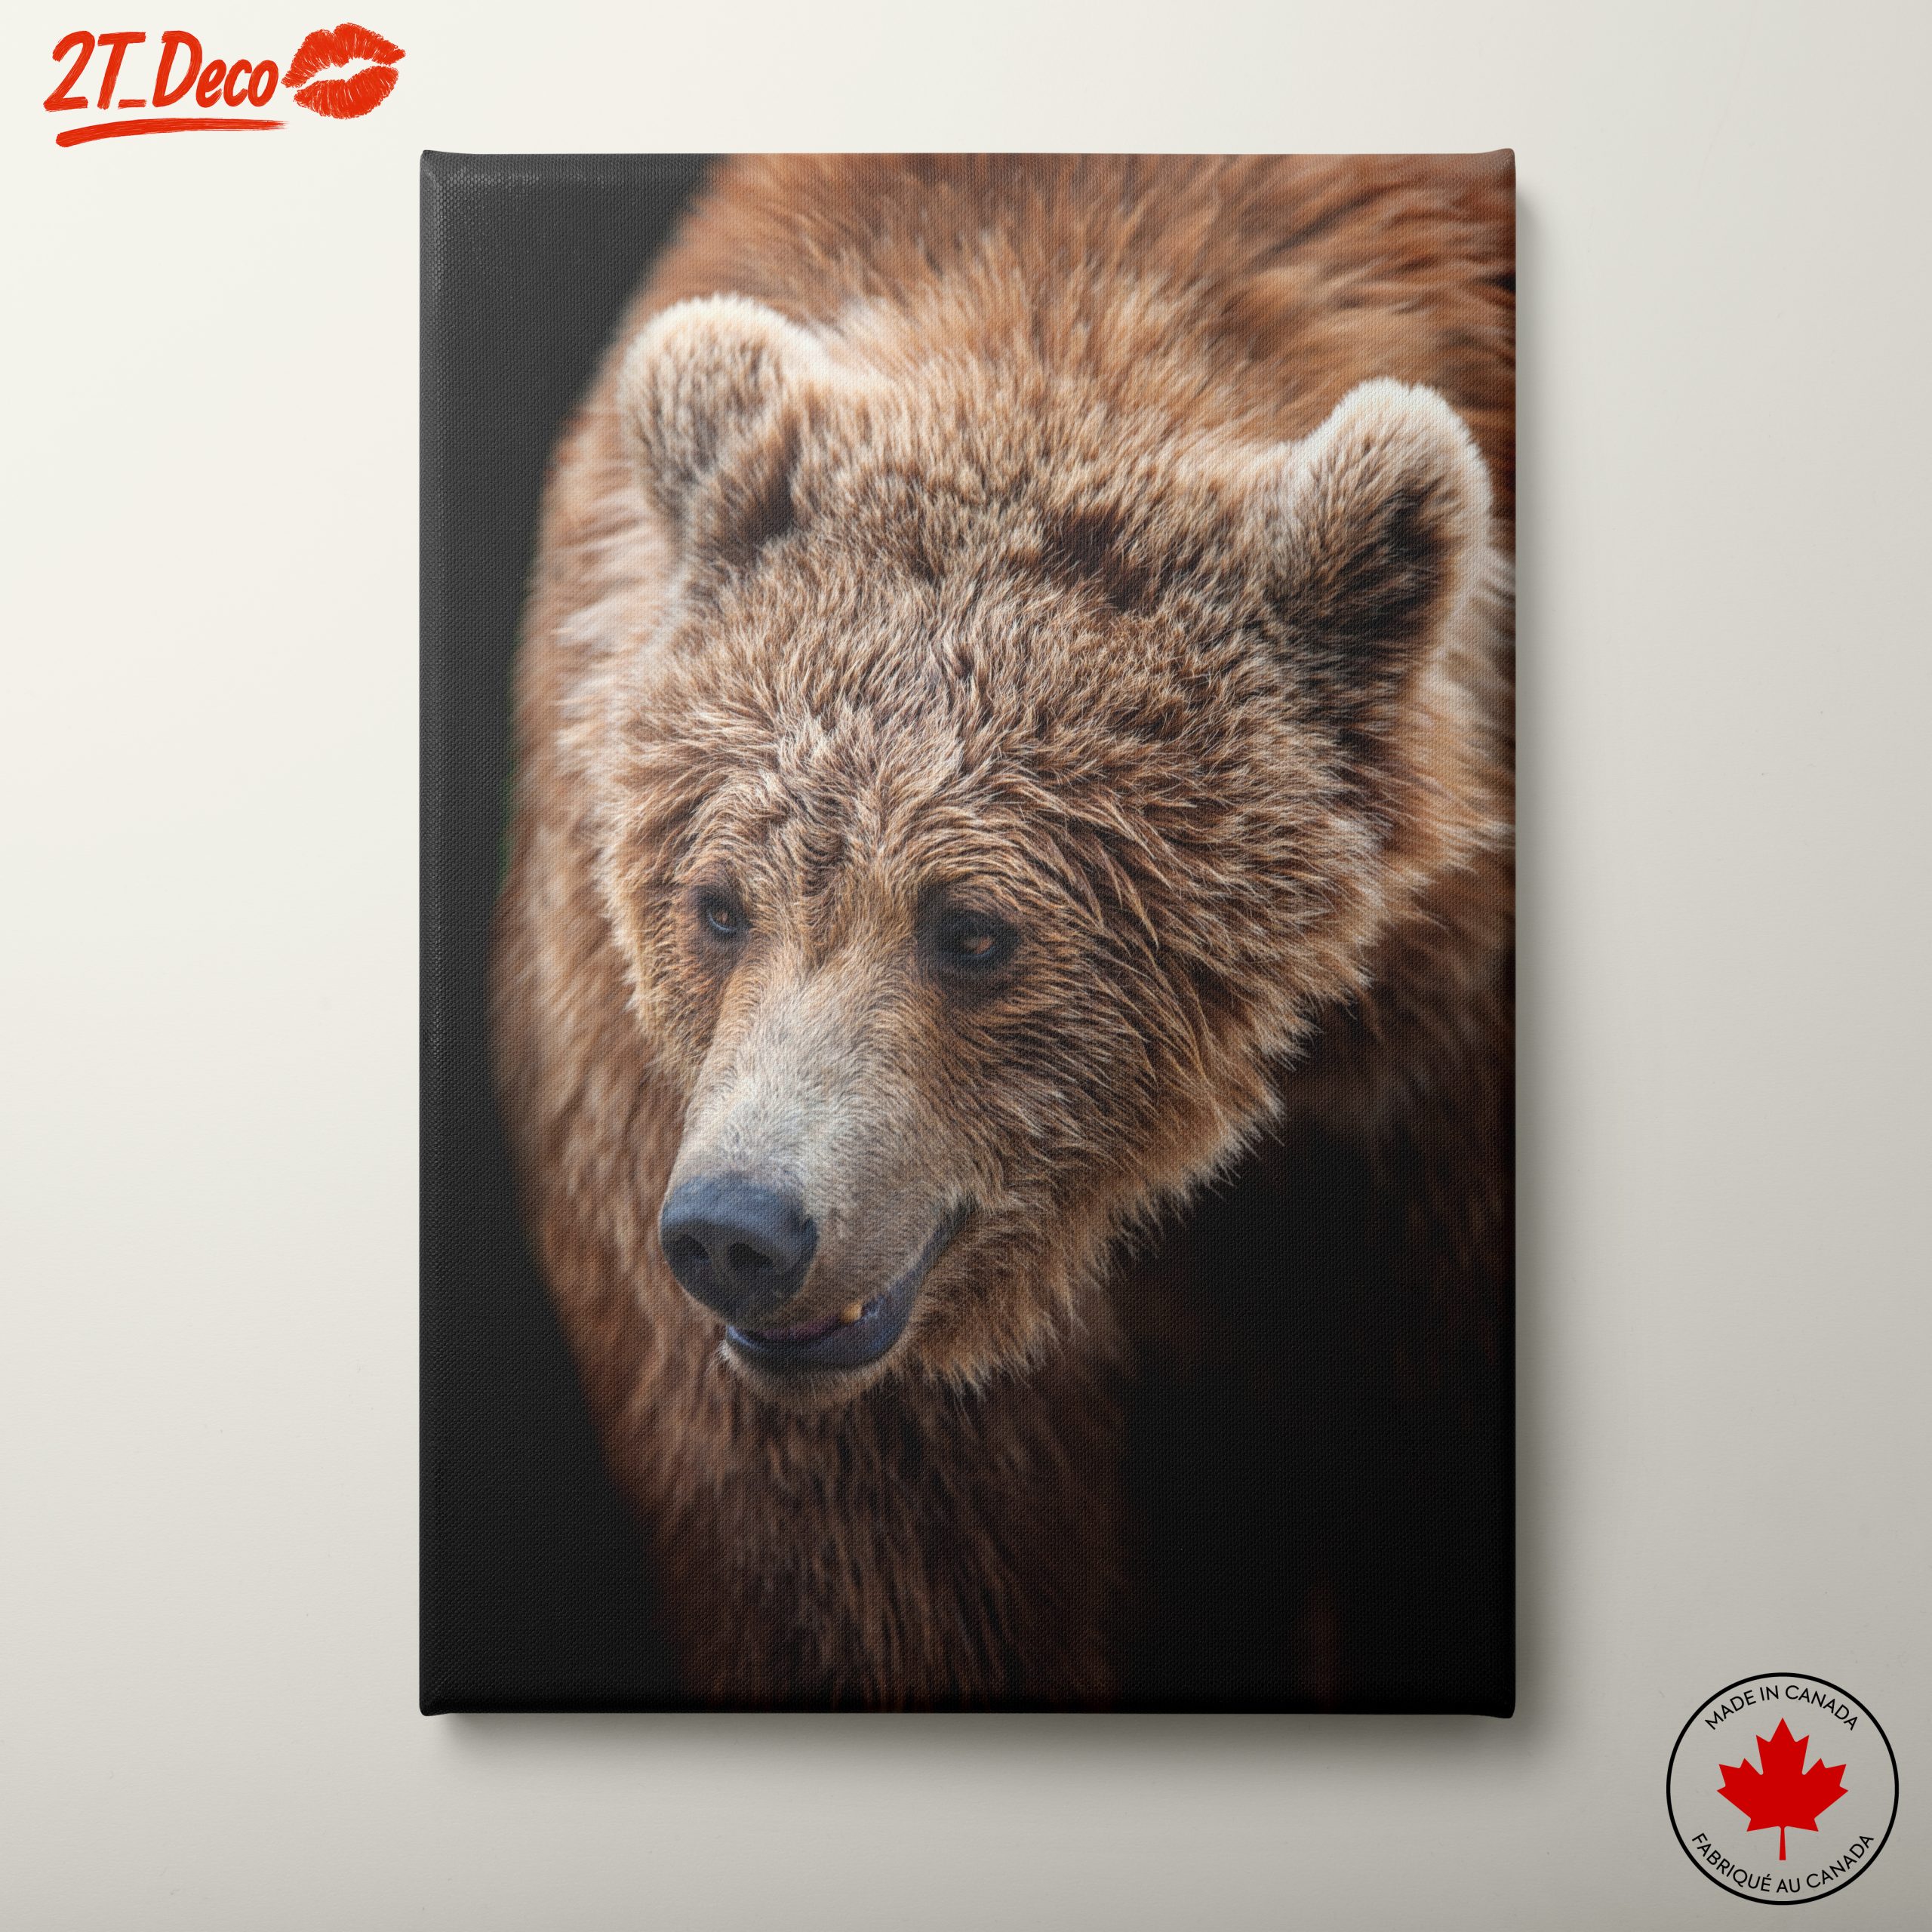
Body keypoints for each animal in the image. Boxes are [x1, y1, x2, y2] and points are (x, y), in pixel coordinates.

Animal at [492, 155, 1514, 1709]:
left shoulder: (1441, 1101)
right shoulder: (654, 1108)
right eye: (719, 904)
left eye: (972, 930)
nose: (741, 1229)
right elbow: (885, 1573)